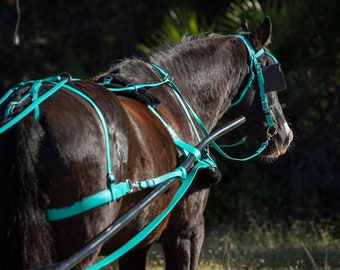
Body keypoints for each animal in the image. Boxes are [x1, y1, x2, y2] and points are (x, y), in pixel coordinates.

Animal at [0, 17, 292, 268]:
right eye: (270, 68)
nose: (285, 135)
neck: (179, 98)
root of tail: (30, 111)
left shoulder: (134, 242)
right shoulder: (187, 231)